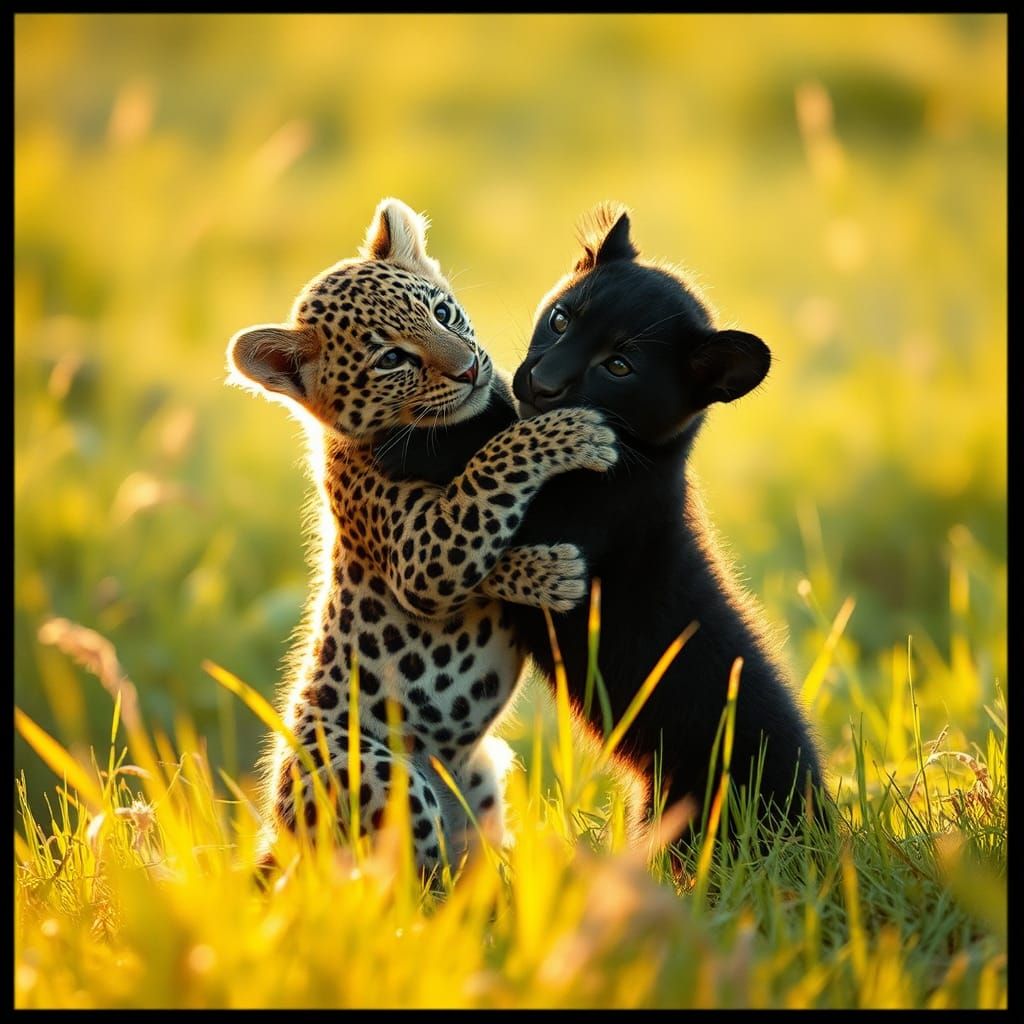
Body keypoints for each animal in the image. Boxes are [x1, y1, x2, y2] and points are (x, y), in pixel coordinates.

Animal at [226, 197, 618, 877]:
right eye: (391, 360)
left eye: (441, 312)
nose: (470, 369)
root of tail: (282, 834)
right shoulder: (421, 554)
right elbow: (489, 471)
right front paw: (571, 441)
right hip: (380, 775)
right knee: (410, 886)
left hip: (480, 778)